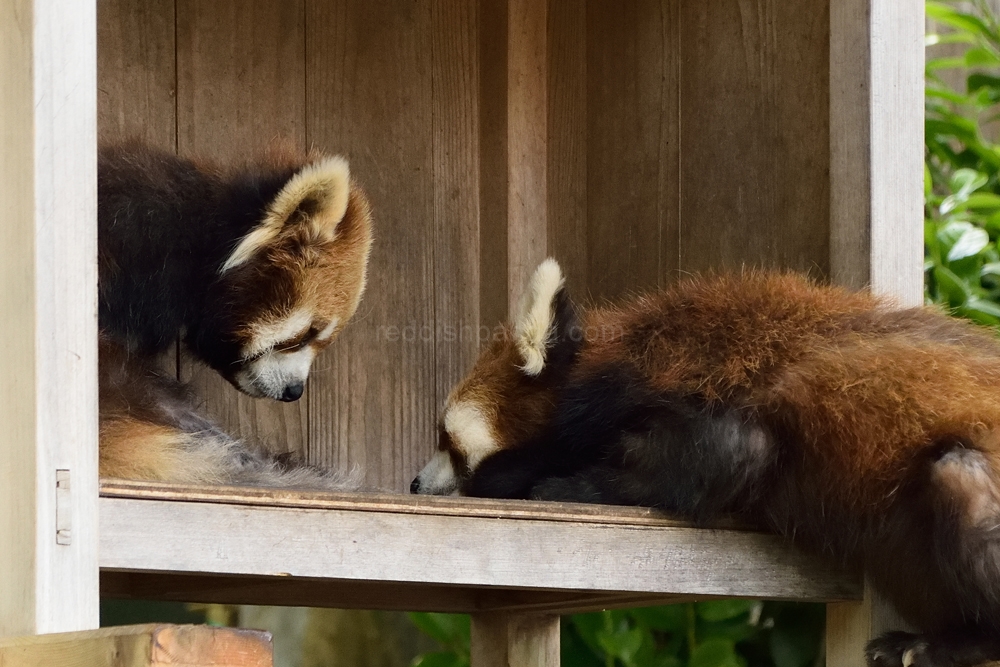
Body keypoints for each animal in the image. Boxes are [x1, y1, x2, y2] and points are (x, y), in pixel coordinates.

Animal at [414, 258, 1000, 667]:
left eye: (449, 442)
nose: (417, 484)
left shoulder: (693, 385)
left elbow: (731, 453)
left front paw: (548, 483)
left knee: (960, 479)